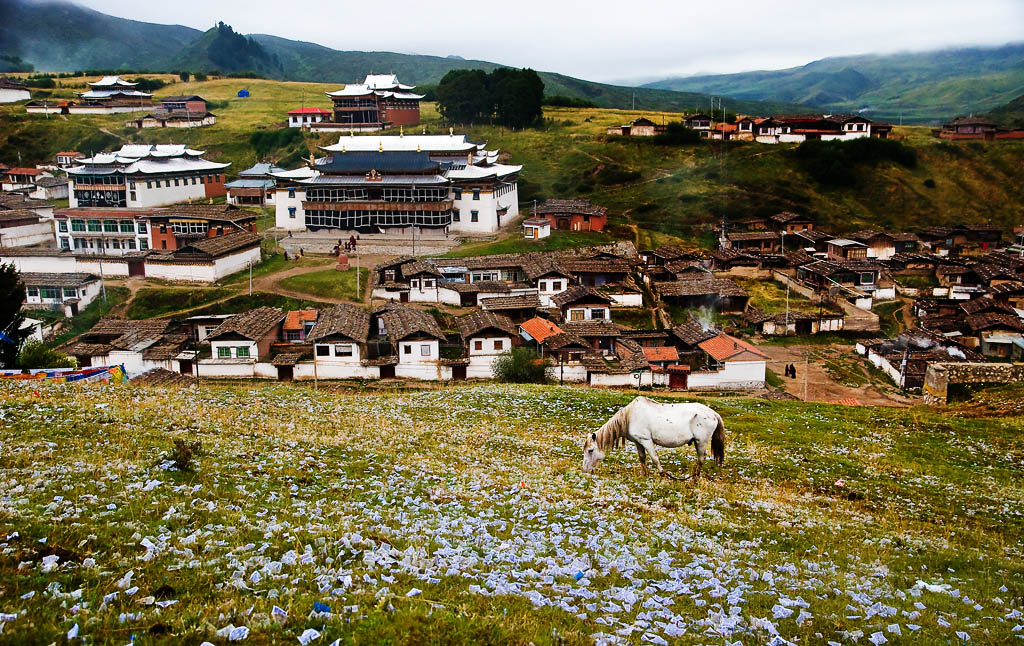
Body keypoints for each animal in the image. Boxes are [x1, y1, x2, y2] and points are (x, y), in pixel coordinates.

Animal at [585, 395, 729, 481]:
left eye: (590, 450)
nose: (585, 470)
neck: (630, 416)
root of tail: (714, 414)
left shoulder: (646, 441)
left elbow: (654, 458)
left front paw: (662, 474)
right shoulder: (638, 442)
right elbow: (642, 458)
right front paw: (645, 474)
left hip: (701, 442)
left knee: (701, 459)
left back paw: (695, 478)